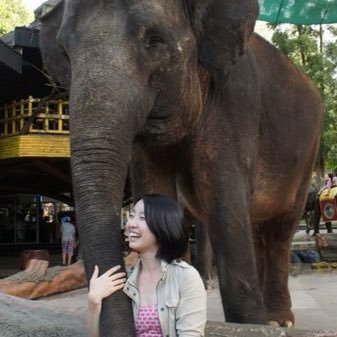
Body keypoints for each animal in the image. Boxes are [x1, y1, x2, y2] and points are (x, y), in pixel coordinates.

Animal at [38, 1, 322, 334]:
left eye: (155, 40)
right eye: (64, 50)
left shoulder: (235, 104)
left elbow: (225, 205)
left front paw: (251, 325)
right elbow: (155, 187)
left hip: (307, 153)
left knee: (279, 231)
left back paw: (279, 320)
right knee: (258, 230)